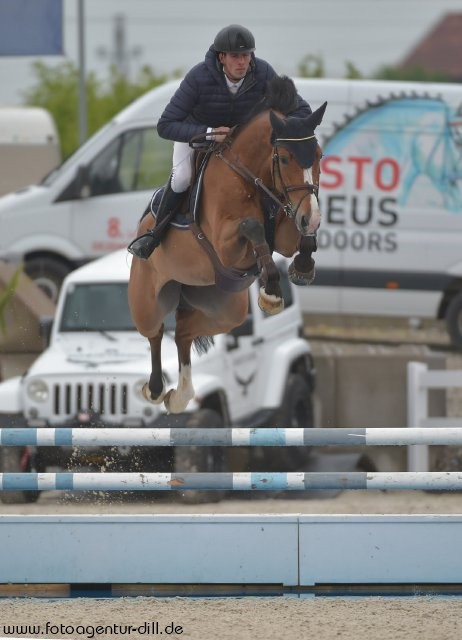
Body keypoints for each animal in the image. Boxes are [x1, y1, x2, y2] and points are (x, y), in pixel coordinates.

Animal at [128, 76, 326, 416]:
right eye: (285, 158)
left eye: (319, 155)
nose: (310, 217)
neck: (251, 173)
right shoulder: (225, 244)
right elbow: (253, 227)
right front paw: (272, 291)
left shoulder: (285, 231)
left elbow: (297, 239)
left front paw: (302, 266)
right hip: (146, 301)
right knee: (155, 333)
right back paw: (155, 390)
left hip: (226, 311)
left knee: (183, 331)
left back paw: (179, 396)